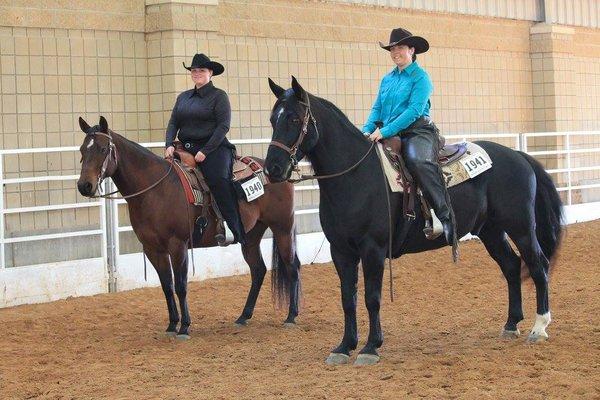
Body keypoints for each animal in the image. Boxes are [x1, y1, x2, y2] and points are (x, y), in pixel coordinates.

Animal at [75, 115, 300, 338]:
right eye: (82, 150)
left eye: (102, 149)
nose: (84, 185)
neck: (156, 189)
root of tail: (276, 171)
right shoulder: (153, 249)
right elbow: (167, 286)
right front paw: (171, 325)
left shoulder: (178, 245)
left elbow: (181, 285)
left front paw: (184, 327)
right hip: (251, 236)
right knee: (258, 270)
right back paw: (243, 317)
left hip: (282, 228)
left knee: (292, 266)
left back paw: (291, 316)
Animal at [262, 77, 564, 366]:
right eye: (272, 119)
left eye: (294, 119)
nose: (273, 168)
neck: (356, 175)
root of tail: (519, 156)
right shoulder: (341, 251)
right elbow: (348, 299)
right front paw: (344, 347)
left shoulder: (373, 249)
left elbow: (372, 298)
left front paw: (370, 348)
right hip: (491, 231)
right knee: (512, 266)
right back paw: (511, 325)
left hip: (521, 228)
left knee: (538, 265)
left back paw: (539, 328)